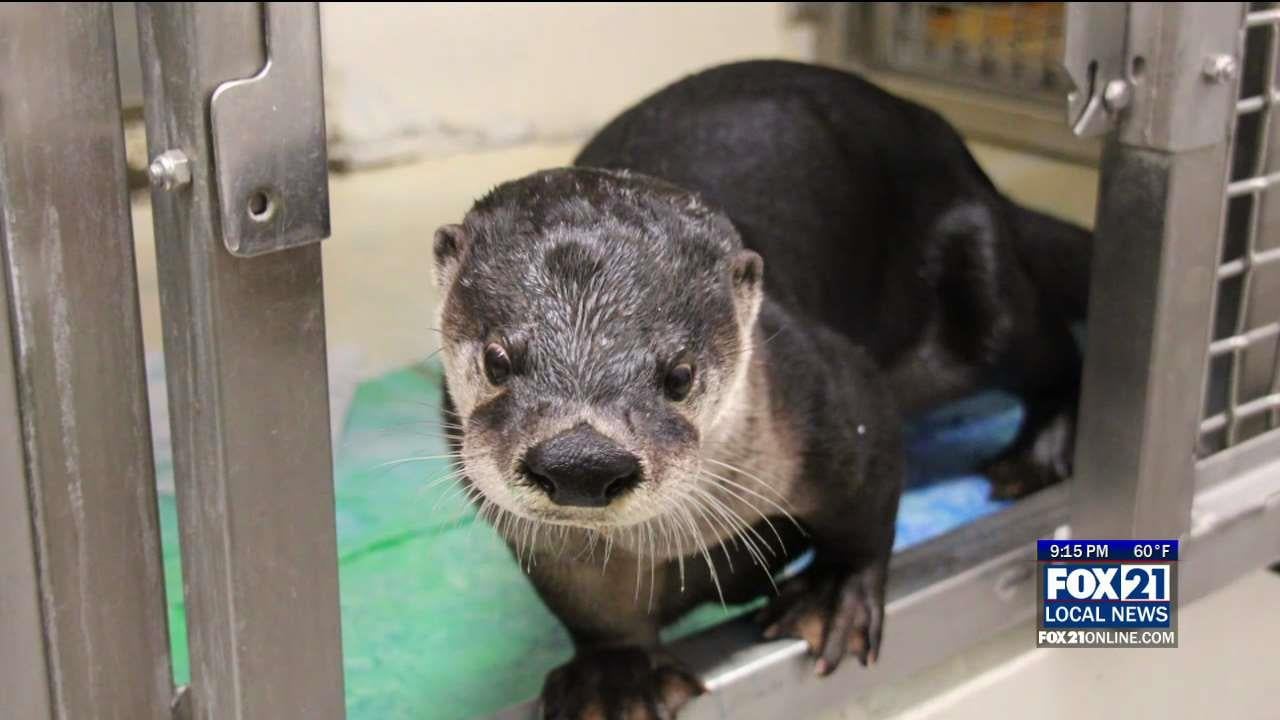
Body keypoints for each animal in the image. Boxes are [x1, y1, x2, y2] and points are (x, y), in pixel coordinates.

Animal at [433, 61, 1092, 718]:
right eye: (497, 360)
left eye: (679, 374)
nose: (580, 461)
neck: (670, 544)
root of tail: (961, 155)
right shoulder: (545, 545)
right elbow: (589, 604)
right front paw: (614, 677)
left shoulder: (830, 395)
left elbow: (866, 504)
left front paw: (833, 593)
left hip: (973, 290)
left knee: (1049, 348)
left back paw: (1038, 456)